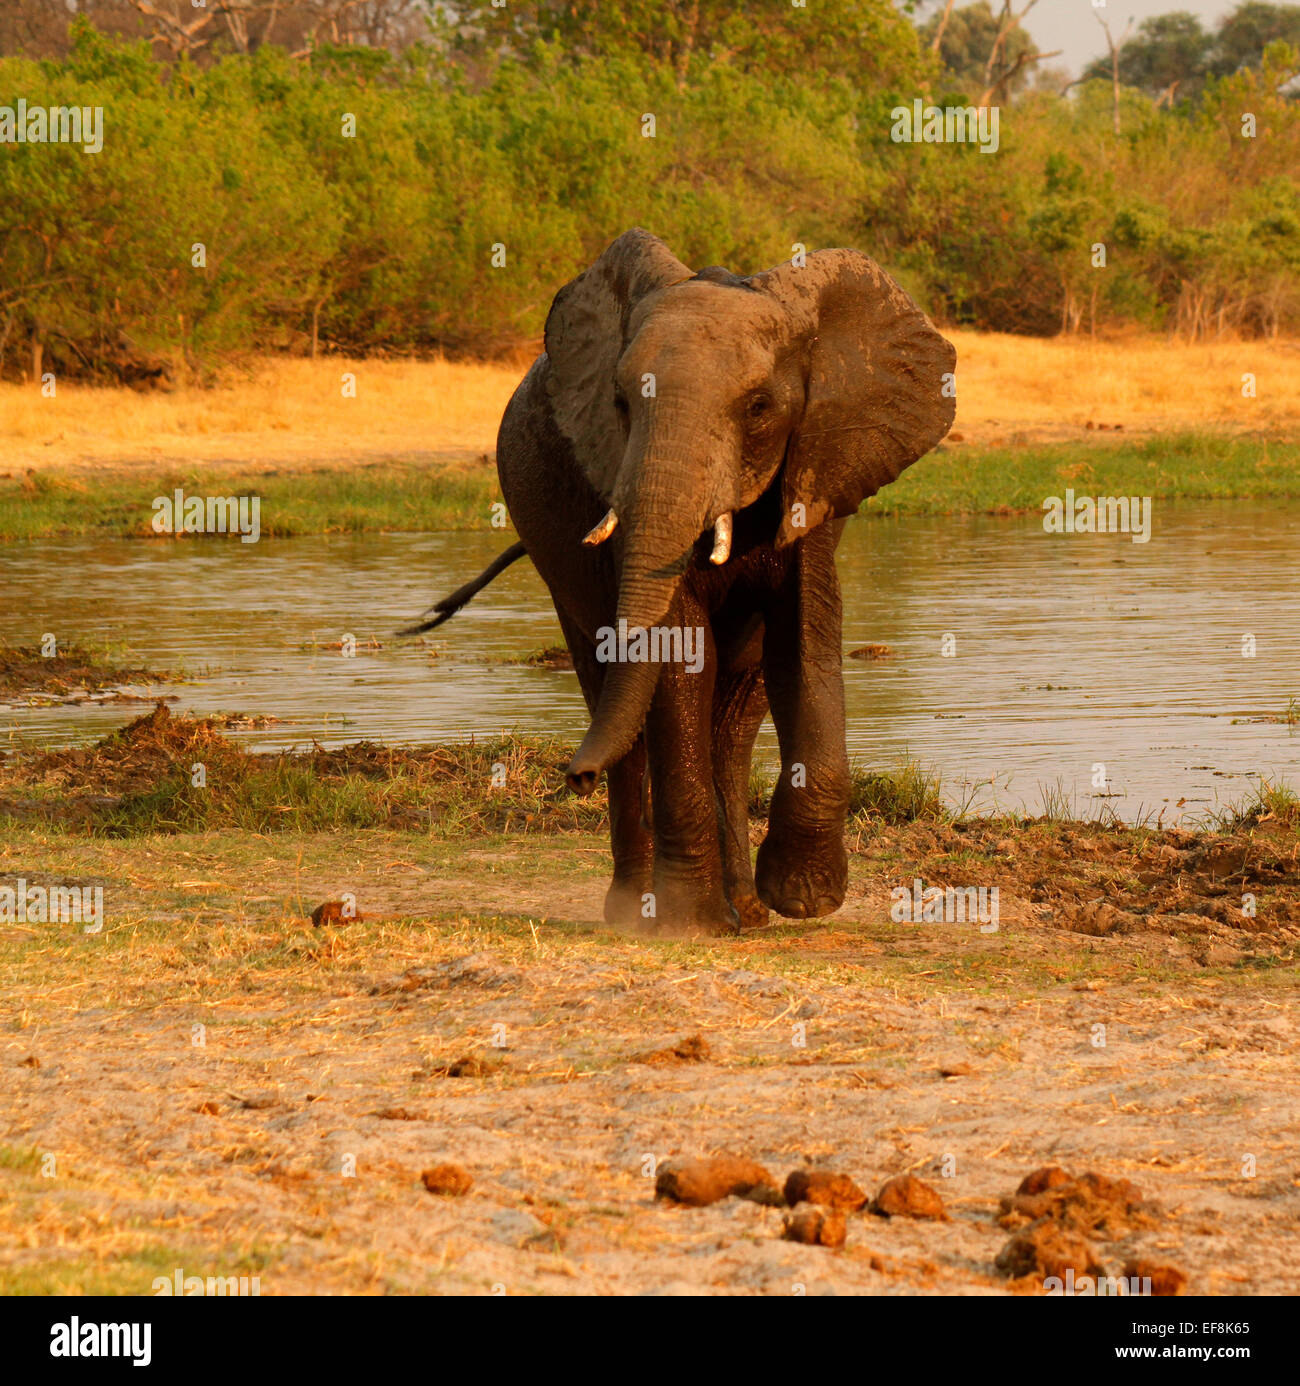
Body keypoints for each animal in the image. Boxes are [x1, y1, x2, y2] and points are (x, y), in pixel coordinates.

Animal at [411, 230, 955, 933]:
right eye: (619, 404)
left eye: (759, 407)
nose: (573, 776)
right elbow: (679, 654)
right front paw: (686, 927)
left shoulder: (818, 470)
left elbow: (806, 639)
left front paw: (801, 898)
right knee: (616, 691)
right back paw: (635, 912)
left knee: (733, 718)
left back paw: (747, 912)